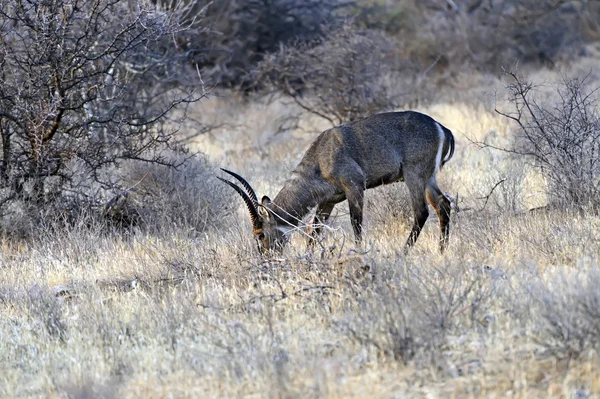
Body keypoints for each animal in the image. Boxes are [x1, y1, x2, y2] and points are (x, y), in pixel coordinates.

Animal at [220, 110, 454, 253]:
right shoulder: (328, 201)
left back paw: (403, 252)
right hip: (428, 178)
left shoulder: (355, 186)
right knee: (444, 204)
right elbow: (314, 231)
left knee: (421, 212)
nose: (265, 257)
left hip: (414, 175)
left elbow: (355, 223)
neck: (320, 158)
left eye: (259, 234)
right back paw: (442, 251)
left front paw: (359, 252)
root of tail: (441, 127)